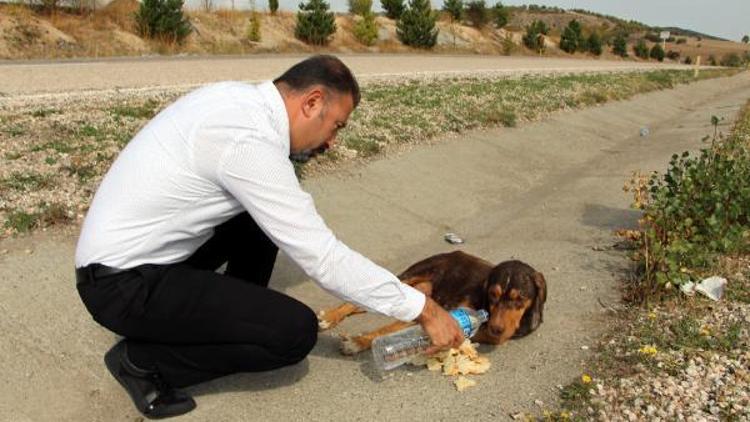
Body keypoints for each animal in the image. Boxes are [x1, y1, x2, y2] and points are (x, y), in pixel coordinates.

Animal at [316, 251, 548, 356]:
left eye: (520, 299)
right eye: (492, 294)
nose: (496, 328)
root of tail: (453, 252)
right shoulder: (443, 317)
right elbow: (387, 330)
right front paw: (358, 342)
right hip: (411, 276)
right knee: (359, 300)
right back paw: (330, 317)